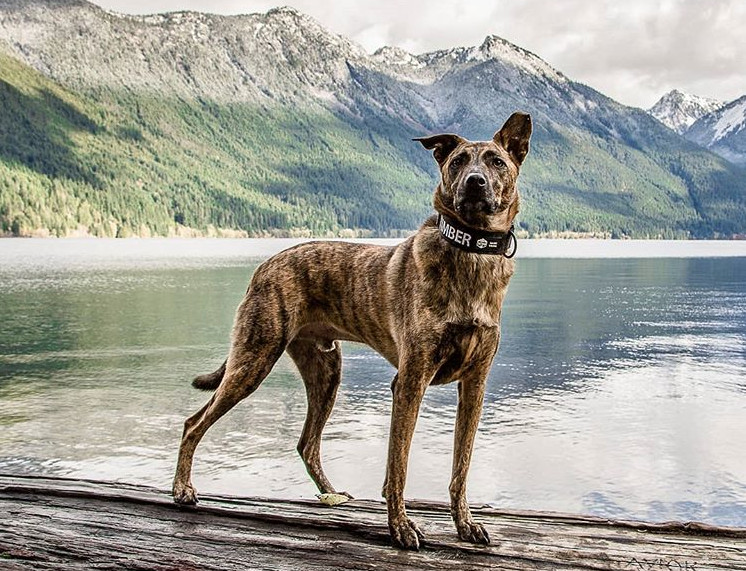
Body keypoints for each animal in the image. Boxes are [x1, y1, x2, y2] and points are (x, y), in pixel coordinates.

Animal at [174, 110, 532, 548]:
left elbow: (459, 468)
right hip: (253, 360)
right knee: (194, 423)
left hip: (325, 372)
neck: (469, 251)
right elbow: (399, 465)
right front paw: (400, 527)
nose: (474, 182)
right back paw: (182, 490)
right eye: (458, 162)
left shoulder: (475, 385)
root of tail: (263, 267)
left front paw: (464, 524)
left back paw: (331, 496)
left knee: (307, 443)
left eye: (496, 161)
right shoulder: (409, 381)